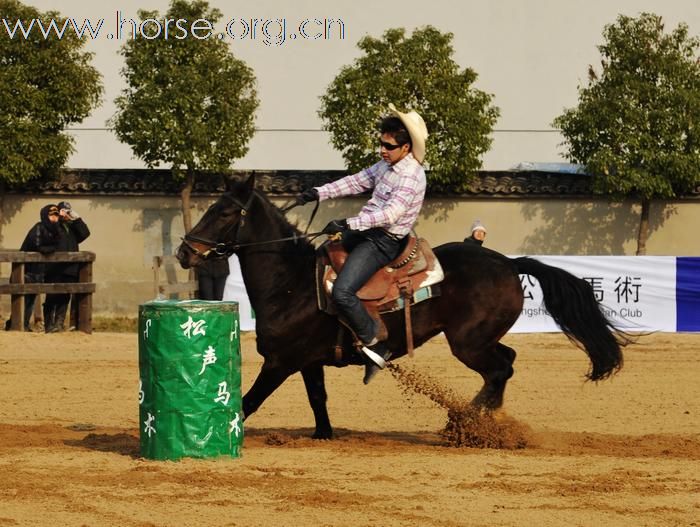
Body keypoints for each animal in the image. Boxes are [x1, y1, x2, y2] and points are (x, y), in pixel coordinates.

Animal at [176, 175, 636, 440]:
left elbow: (248, 401)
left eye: (223, 212)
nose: (185, 252)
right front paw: (324, 434)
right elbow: (317, 399)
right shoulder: (307, 362)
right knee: (507, 361)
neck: (292, 283)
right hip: (478, 339)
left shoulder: (280, 362)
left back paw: (463, 423)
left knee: (500, 369)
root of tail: (508, 263)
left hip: (468, 342)